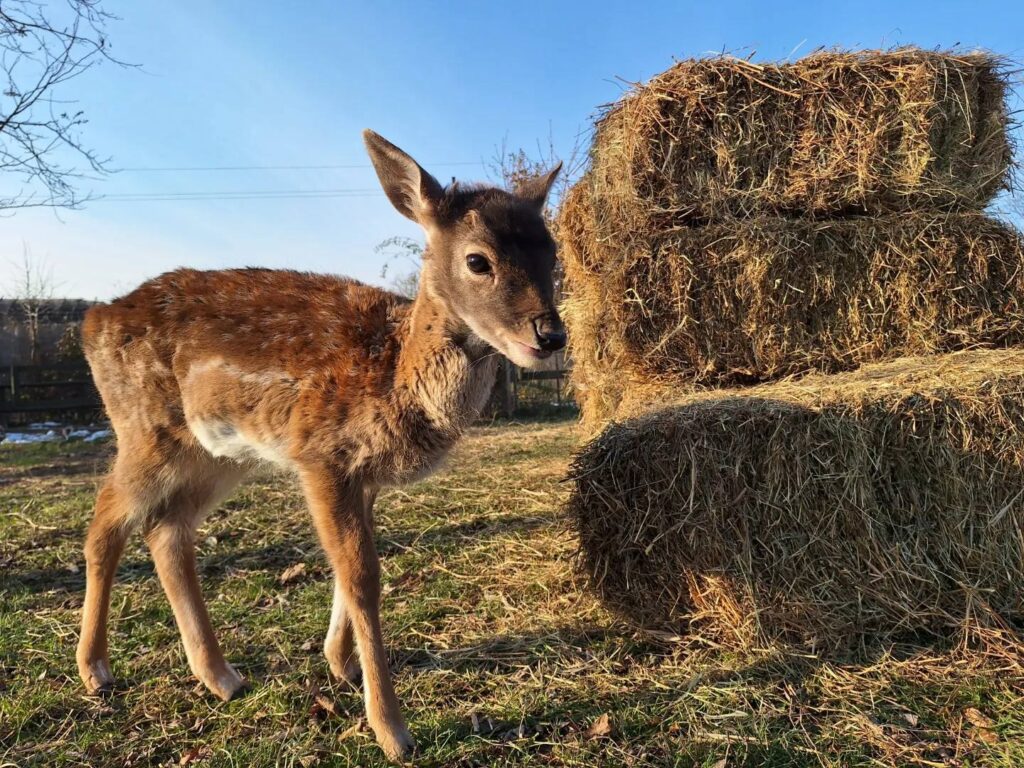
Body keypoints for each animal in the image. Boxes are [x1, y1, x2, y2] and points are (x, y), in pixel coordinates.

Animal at [75, 132, 565, 765]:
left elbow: (346, 571)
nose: (550, 335)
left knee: (166, 530)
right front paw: (392, 730)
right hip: (145, 430)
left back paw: (222, 677)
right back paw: (96, 670)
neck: (393, 373)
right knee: (106, 524)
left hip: (217, 455)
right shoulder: (320, 454)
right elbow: (362, 577)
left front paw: (341, 666)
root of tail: (89, 323)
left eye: (552, 254)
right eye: (478, 260)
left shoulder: (363, 475)